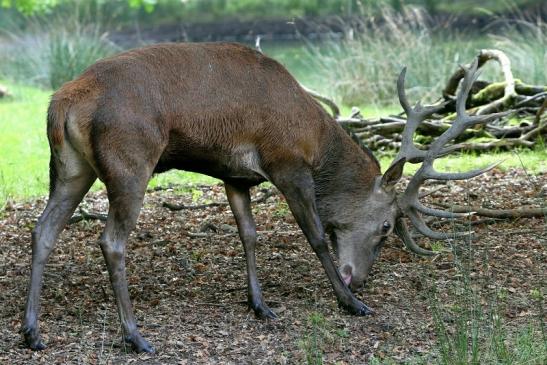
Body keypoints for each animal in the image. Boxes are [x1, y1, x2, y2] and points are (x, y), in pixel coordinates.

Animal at [22, 42, 500, 352]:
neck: (315, 140)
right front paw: (352, 304)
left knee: (43, 229)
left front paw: (260, 305)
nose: (358, 278)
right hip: (130, 162)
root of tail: (62, 102)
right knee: (111, 241)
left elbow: (249, 235)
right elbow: (316, 236)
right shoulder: (286, 162)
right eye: (385, 226)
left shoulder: (235, 176)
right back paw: (136, 336)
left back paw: (32, 332)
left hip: (69, 168)